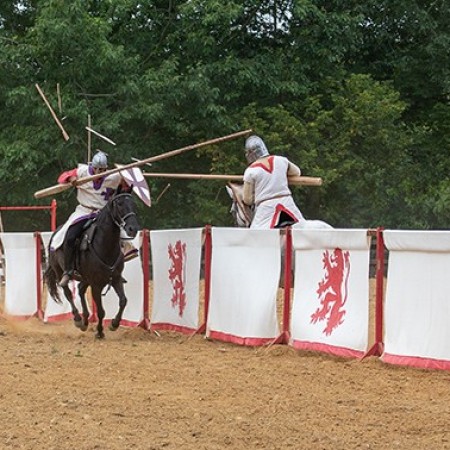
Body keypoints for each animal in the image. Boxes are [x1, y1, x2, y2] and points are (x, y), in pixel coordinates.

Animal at [45, 185, 141, 338]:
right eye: (119, 204)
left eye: (133, 204)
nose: (133, 229)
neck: (104, 245)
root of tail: (55, 233)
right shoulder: (96, 284)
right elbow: (101, 311)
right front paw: (100, 332)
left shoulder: (116, 278)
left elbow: (123, 301)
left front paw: (114, 324)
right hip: (60, 272)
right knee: (68, 293)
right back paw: (78, 319)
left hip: (85, 278)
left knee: (80, 289)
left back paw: (85, 320)